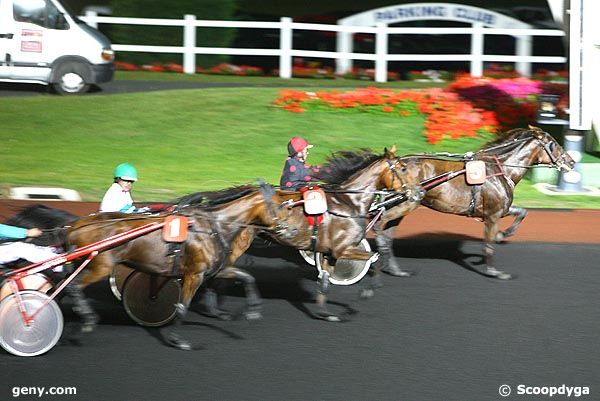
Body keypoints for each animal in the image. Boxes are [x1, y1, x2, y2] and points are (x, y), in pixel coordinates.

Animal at [67, 183, 296, 348]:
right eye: (279, 206)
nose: (292, 230)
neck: (213, 227)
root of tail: (75, 226)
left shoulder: (215, 269)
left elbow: (248, 277)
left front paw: (253, 310)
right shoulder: (195, 274)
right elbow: (182, 306)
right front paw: (178, 340)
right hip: (99, 265)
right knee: (74, 287)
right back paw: (87, 320)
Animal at [372, 126, 576, 280]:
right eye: (553, 143)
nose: (572, 162)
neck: (500, 169)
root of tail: (393, 167)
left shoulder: (500, 210)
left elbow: (522, 212)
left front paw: (503, 234)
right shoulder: (492, 215)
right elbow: (488, 244)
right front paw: (494, 271)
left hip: (403, 206)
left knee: (388, 233)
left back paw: (395, 269)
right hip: (405, 204)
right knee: (380, 223)